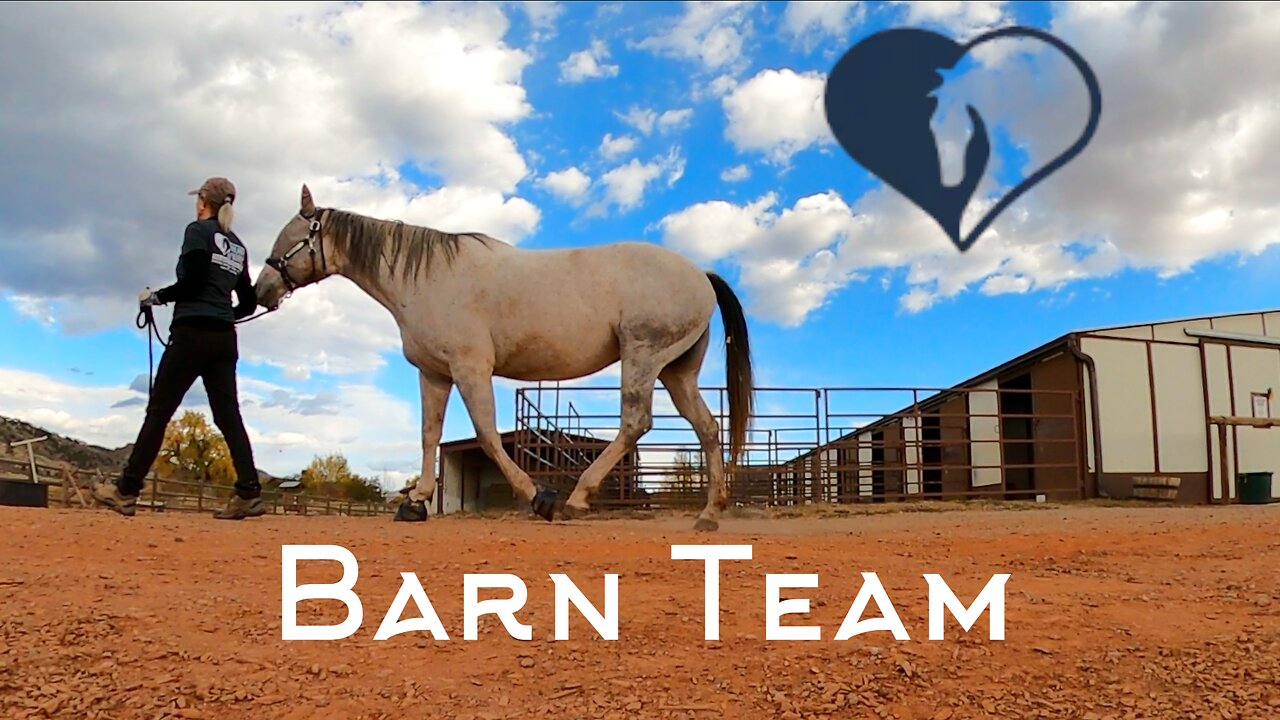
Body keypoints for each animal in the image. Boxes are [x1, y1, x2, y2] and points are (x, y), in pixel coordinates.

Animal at [252, 184, 747, 530]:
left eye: (289, 238)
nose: (260, 292)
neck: (427, 278)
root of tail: (700, 274)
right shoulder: (434, 373)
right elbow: (429, 436)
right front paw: (415, 503)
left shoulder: (471, 368)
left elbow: (487, 435)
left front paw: (538, 497)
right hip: (676, 372)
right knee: (708, 428)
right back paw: (708, 514)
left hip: (642, 356)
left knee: (635, 423)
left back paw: (575, 500)